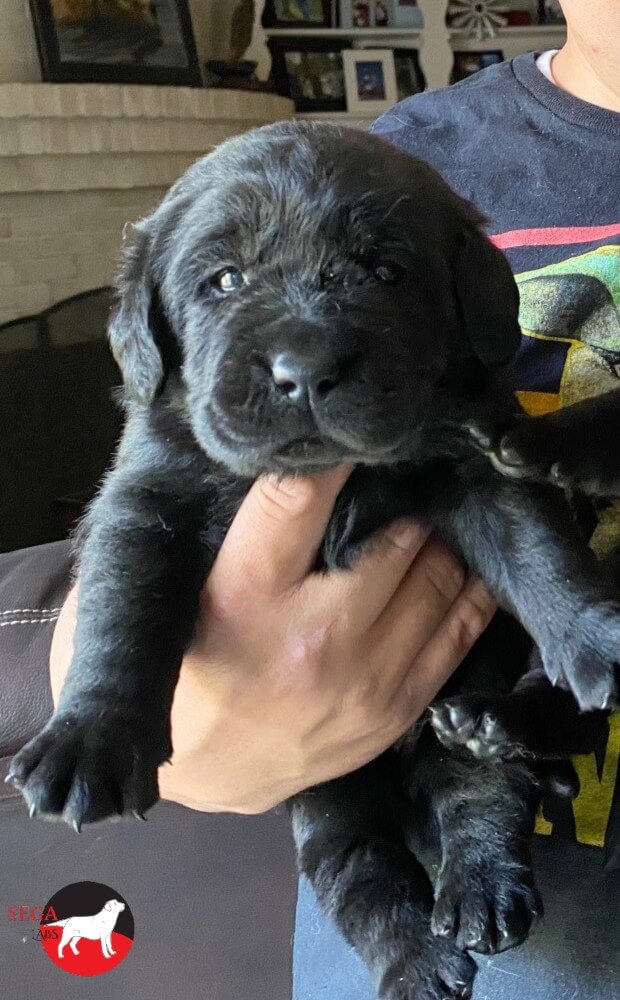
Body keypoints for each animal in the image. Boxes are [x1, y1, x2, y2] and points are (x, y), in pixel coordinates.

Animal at [9, 125, 620, 1000]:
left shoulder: (475, 461)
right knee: (360, 871)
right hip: (329, 792)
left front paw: (598, 639)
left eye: (386, 273)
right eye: (225, 280)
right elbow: (121, 610)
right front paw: (87, 739)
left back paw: (484, 867)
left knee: (484, 789)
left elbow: (540, 551)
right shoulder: (145, 496)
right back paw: (418, 960)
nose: (303, 373)